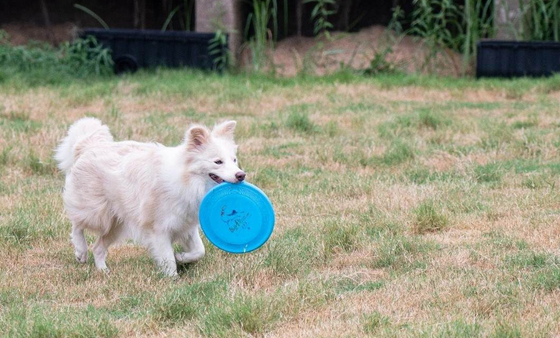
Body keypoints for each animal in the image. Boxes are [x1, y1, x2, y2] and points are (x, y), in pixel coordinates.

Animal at [55, 117, 245, 276]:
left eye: (234, 160)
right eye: (218, 162)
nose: (241, 175)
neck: (187, 180)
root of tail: (88, 146)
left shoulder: (186, 226)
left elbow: (199, 251)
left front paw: (181, 257)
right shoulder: (159, 230)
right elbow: (168, 258)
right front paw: (173, 280)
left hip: (117, 225)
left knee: (98, 247)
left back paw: (103, 271)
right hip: (97, 214)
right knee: (77, 225)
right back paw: (81, 251)